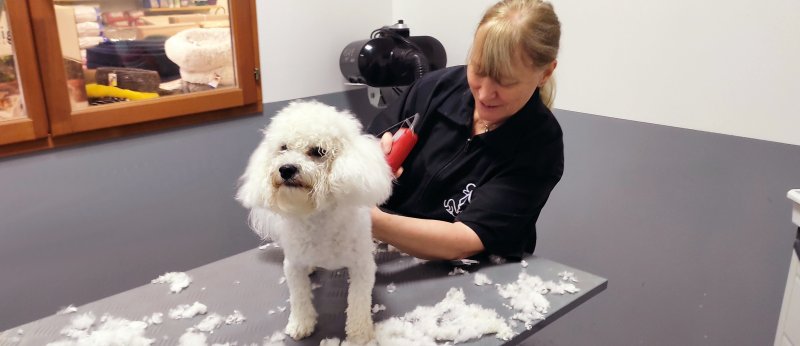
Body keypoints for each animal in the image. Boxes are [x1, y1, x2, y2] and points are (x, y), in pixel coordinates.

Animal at [234, 100, 394, 344]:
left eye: (318, 151)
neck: (318, 219)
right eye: (283, 148)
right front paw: (301, 324)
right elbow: (299, 298)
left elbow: (358, 301)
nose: (286, 169)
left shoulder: (362, 266)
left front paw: (359, 333)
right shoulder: (293, 266)